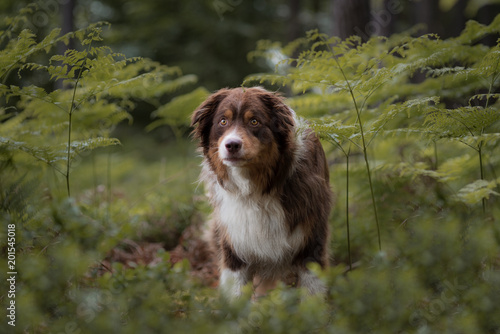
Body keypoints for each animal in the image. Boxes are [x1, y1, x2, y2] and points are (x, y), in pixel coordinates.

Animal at [191, 87, 332, 298]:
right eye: (223, 121)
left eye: (254, 121)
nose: (231, 145)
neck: (255, 190)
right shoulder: (235, 247)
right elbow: (236, 297)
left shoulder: (311, 243)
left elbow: (312, 296)